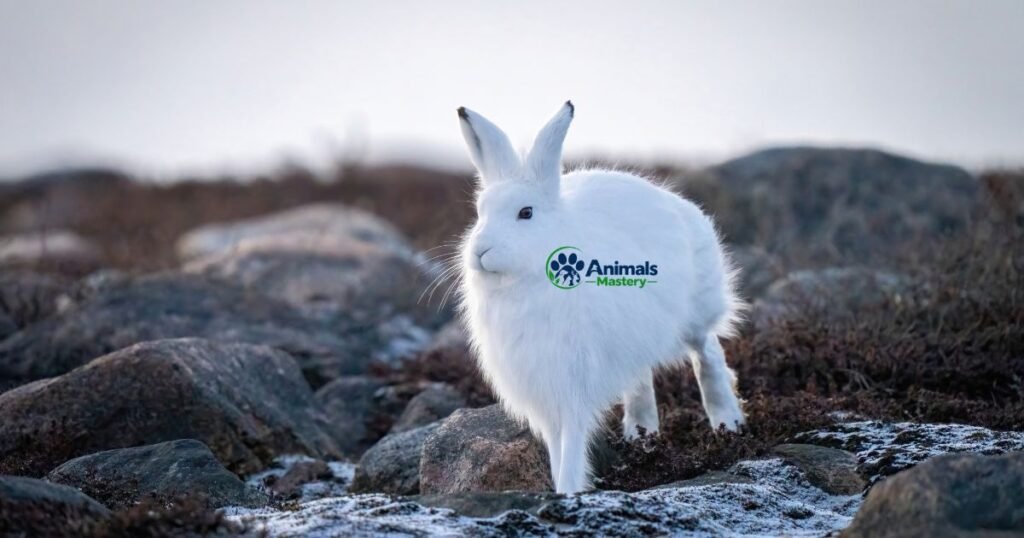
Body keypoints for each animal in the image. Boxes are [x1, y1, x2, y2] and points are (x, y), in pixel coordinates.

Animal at [456, 101, 746, 494]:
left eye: (525, 213)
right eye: (479, 213)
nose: (480, 251)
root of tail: (680, 205)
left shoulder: (572, 380)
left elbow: (573, 440)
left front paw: (567, 490)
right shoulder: (542, 389)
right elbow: (555, 444)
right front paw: (561, 486)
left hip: (696, 313)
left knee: (708, 354)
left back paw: (728, 424)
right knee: (641, 378)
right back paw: (642, 436)